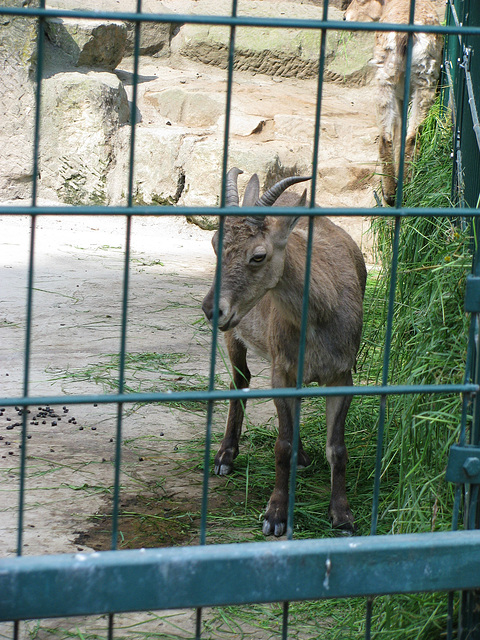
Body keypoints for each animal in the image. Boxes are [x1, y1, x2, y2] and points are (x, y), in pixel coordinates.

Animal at [202, 169, 368, 536]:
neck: (320, 315)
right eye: (215, 244)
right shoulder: (283, 369)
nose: (211, 309)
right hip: (236, 333)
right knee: (240, 381)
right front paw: (276, 515)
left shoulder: (341, 373)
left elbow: (337, 448)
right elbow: (282, 445)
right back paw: (224, 456)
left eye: (258, 255)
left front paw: (343, 515)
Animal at [344, 0, 442, 204]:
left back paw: (391, 192)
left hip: (386, 78)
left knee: (388, 135)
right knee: (410, 134)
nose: (345, 17)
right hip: (423, 80)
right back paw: (403, 188)